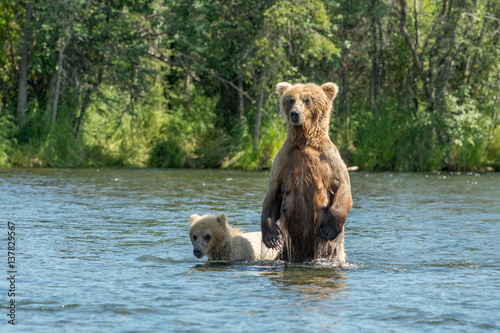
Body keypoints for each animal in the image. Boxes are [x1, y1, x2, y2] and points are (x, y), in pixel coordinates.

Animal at [260, 81, 354, 262]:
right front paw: (272, 237)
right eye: (290, 99)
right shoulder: (283, 160)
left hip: (331, 251)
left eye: (307, 100)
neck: (304, 141)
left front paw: (328, 230)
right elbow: (273, 193)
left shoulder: (329, 160)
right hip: (286, 251)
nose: (295, 114)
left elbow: (342, 187)